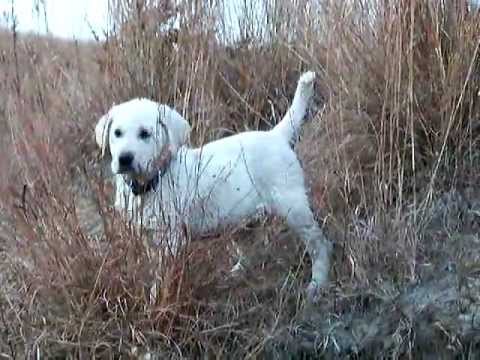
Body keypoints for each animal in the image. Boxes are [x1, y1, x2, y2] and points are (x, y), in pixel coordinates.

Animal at [95, 71, 332, 300]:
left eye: (145, 133)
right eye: (117, 133)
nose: (125, 158)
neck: (153, 180)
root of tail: (275, 136)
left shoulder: (169, 238)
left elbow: (161, 274)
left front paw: (155, 298)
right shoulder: (144, 234)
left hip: (293, 208)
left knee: (319, 244)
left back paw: (317, 284)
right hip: (241, 219)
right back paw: (236, 273)